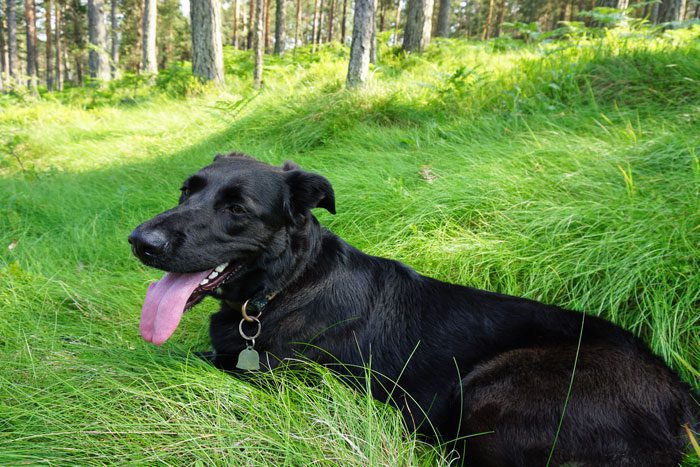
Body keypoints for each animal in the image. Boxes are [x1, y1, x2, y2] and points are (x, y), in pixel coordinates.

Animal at [130, 153, 696, 464]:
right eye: (185, 191)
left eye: (237, 209)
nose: (140, 242)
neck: (285, 289)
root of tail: (682, 399)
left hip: (492, 386)